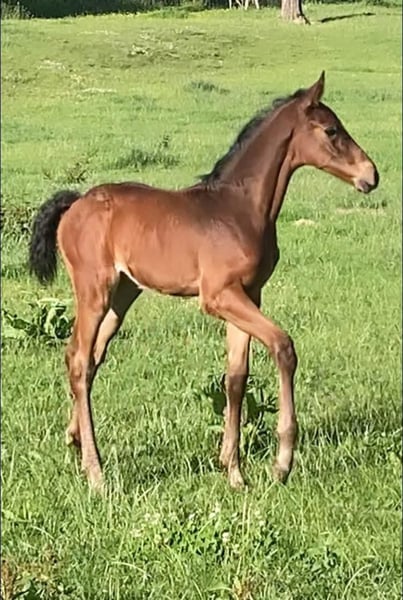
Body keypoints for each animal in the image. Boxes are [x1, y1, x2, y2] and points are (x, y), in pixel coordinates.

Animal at [29, 72, 379, 492]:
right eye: (331, 130)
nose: (371, 175)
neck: (240, 209)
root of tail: (76, 203)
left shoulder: (250, 295)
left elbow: (236, 376)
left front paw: (234, 470)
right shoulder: (218, 296)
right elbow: (283, 347)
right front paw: (281, 463)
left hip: (122, 295)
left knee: (87, 357)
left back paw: (75, 442)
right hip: (93, 290)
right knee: (81, 360)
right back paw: (96, 472)